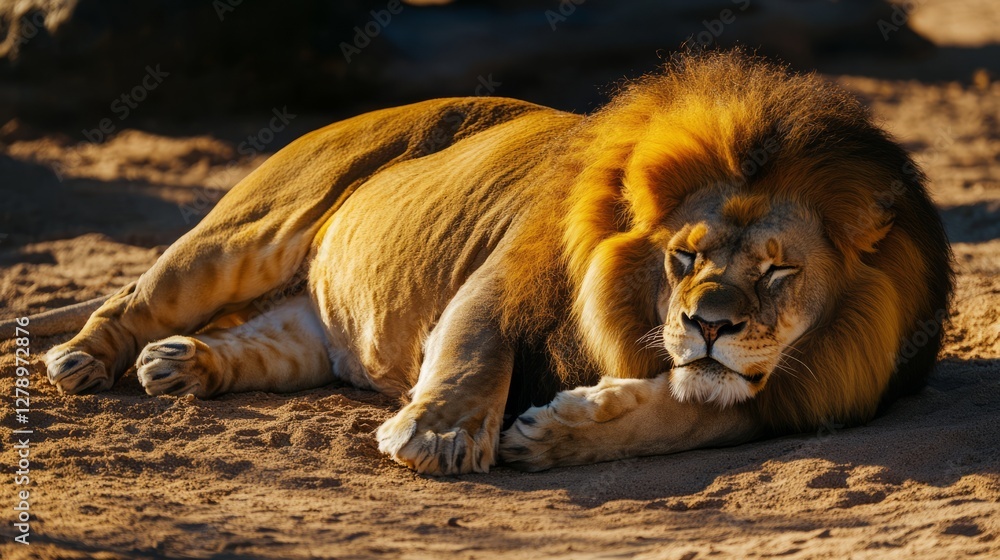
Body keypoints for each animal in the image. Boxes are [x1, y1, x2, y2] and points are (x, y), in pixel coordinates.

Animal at [42, 51, 952, 474]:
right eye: (683, 257)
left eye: (776, 270)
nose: (707, 326)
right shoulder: (509, 267)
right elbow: (474, 347)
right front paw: (438, 438)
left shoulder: (801, 387)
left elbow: (701, 413)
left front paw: (559, 434)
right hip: (248, 233)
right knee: (132, 298)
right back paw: (85, 357)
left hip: (315, 323)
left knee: (265, 342)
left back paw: (181, 365)